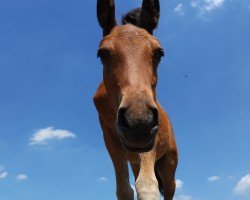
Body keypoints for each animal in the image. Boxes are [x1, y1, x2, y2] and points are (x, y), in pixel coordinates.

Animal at [93, 0, 178, 199]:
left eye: (159, 52)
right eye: (102, 53)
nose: (138, 122)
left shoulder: (150, 143)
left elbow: (147, 186)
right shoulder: (112, 143)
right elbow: (124, 190)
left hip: (168, 164)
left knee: (169, 189)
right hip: (135, 161)